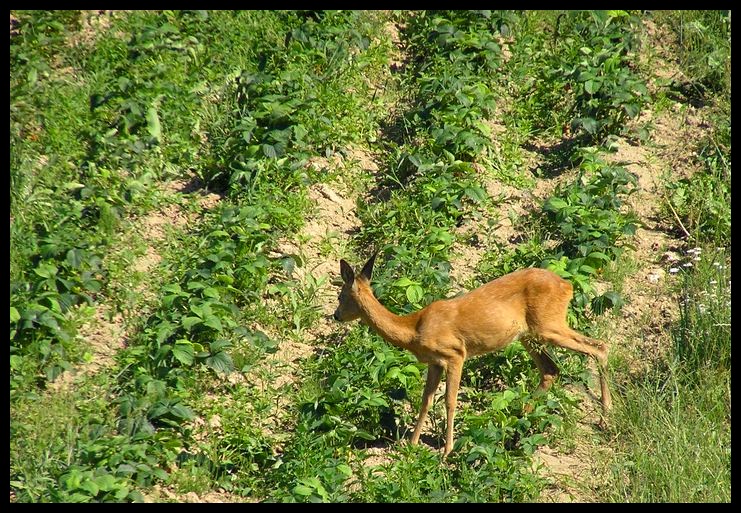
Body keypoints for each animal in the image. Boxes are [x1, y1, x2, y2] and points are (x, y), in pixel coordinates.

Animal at [332, 252, 608, 456]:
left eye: (341, 295)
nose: (336, 315)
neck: (413, 329)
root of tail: (568, 285)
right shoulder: (434, 363)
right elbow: (426, 401)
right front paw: (411, 445)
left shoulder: (455, 353)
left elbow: (450, 401)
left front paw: (447, 451)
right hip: (529, 335)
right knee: (551, 369)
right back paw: (519, 421)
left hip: (548, 326)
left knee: (600, 347)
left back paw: (604, 417)